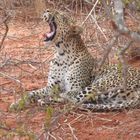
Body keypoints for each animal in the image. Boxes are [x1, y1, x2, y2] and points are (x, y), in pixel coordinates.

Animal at [9, 9, 140, 111]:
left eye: (61, 15)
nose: (47, 10)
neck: (61, 54)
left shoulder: (75, 88)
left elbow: (66, 94)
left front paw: (45, 98)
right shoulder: (51, 86)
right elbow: (32, 93)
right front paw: (17, 103)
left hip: (100, 84)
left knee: (73, 100)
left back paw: (45, 100)